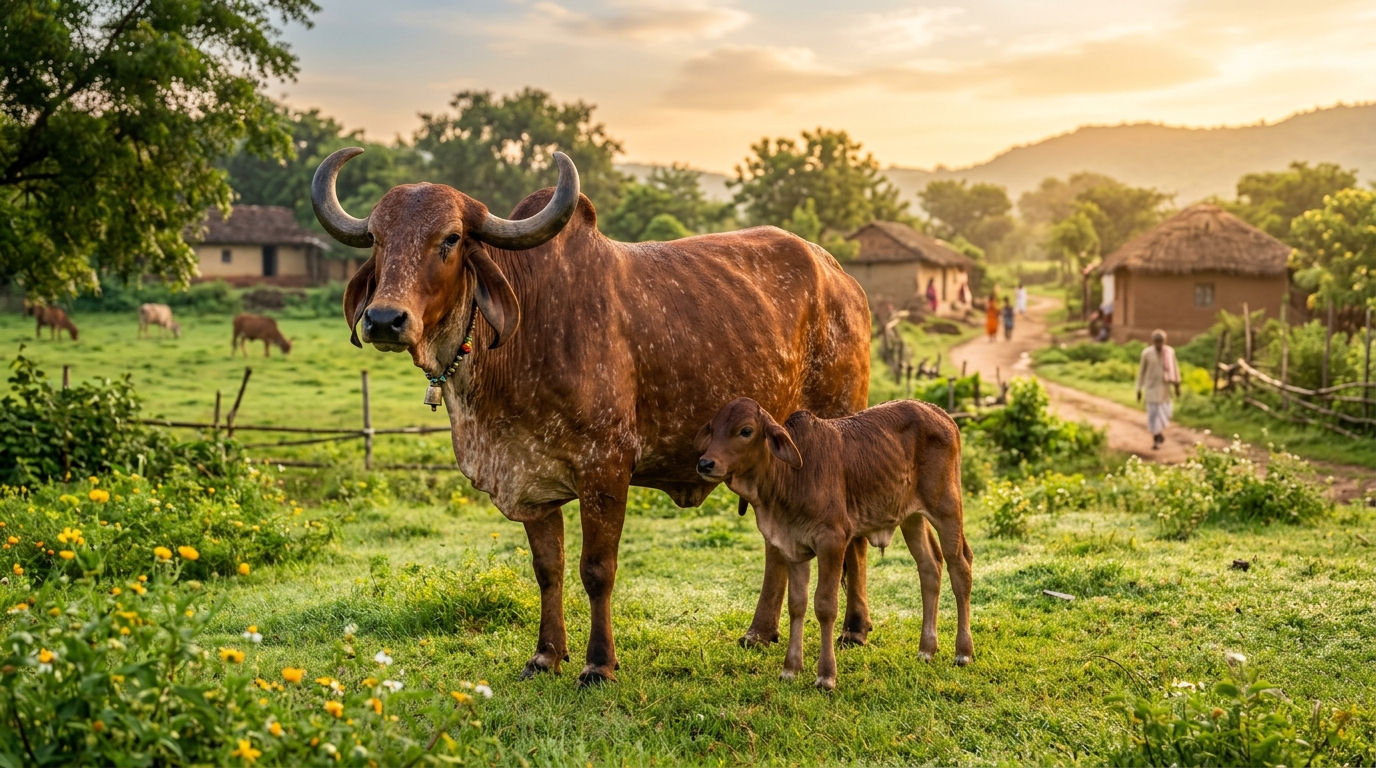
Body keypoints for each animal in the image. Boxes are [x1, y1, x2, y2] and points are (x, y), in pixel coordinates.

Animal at [312, 147, 873, 686]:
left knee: (854, 533)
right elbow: (548, 569)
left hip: (837, 432)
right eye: (377, 239)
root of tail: (842, 278)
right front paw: (545, 655)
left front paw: (598, 663)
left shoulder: (605, 468)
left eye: (450, 238)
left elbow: (596, 569)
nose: (385, 319)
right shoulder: (531, 483)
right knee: (778, 545)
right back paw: (760, 631)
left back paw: (854, 629)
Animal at [695, 397, 973, 690]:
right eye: (713, 428)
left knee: (960, 567)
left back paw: (963, 652)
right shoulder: (792, 547)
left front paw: (826, 675)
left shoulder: (832, 542)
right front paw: (790, 668)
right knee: (930, 568)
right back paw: (926, 650)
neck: (789, 476)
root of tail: (938, 412)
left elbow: (825, 606)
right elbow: (797, 605)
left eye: (745, 431)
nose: (705, 464)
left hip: (947, 509)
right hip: (912, 518)